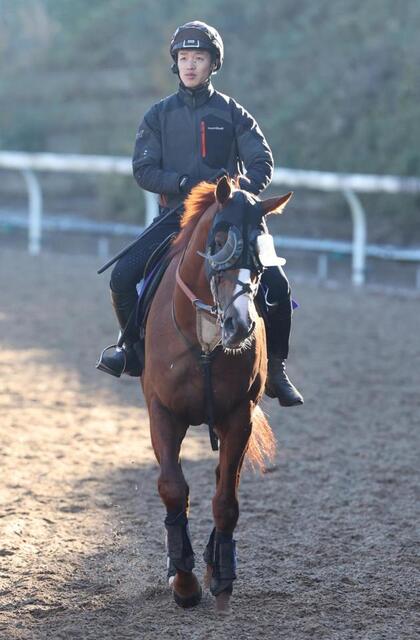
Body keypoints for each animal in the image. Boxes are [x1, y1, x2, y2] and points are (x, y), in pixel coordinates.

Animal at [142, 175, 293, 612]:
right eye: (220, 238)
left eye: (261, 244)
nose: (239, 324)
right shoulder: (162, 412)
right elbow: (173, 489)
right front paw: (183, 580)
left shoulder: (237, 417)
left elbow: (226, 500)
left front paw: (220, 576)